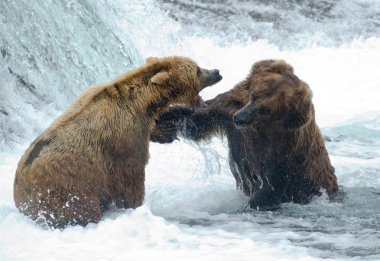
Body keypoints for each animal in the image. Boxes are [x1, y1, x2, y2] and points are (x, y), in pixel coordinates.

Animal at [14, 55, 223, 226]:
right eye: (197, 69)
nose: (217, 71)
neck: (142, 104)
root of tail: (20, 198)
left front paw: (166, 130)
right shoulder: (123, 141)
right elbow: (131, 177)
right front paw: (135, 206)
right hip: (67, 191)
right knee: (82, 209)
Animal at [151, 59, 338, 209]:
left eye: (266, 109)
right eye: (254, 95)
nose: (239, 118)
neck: (260, 127)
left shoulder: (283, 147)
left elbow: (270, 183)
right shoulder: (228, 109)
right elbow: (196, 119)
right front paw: (161, 126)